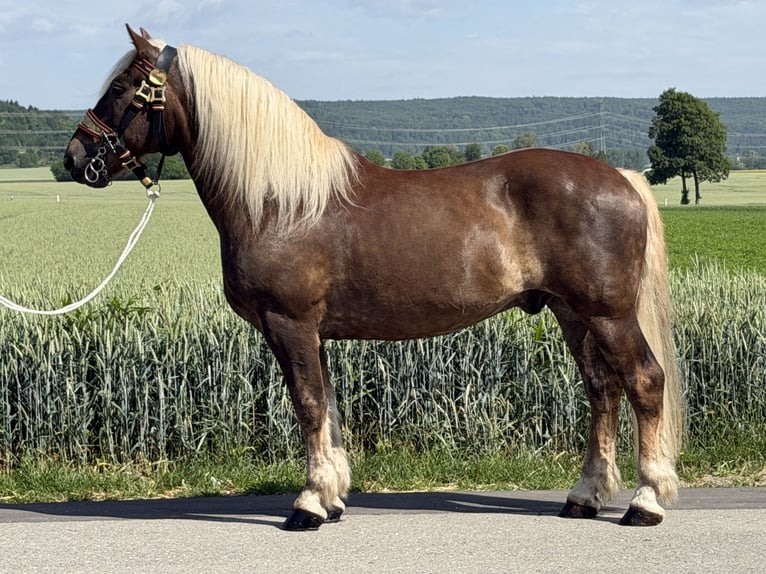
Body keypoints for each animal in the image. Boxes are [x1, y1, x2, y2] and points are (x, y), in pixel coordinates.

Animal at [64, 25, 683, 530]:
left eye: (121, 88)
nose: (73, 158)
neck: (280, 202)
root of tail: (621, 175)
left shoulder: (289, 324)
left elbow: (309, 405)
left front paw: (309, 505)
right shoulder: (313, 333)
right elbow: (327, 406)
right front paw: (333, 497)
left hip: (607, 314)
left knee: (644, 383)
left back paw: (646, 502)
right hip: (572, 313)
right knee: (602, 390)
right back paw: (585, 496)